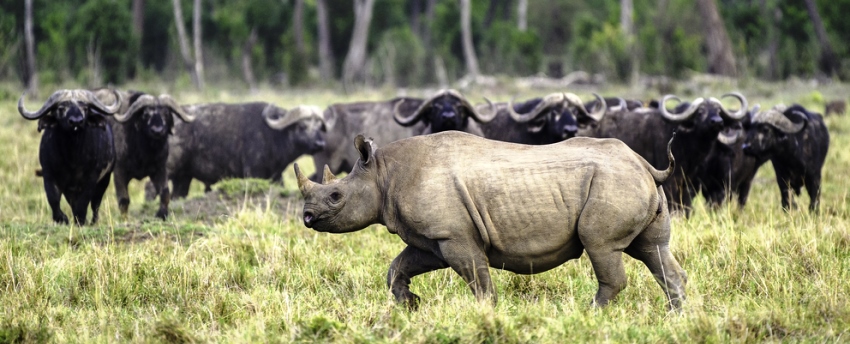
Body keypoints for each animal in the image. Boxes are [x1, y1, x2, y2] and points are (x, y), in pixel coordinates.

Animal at [18, 88, 121, 224]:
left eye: (85, 108)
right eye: (61, 108)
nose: (76, 122)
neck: (72, 156)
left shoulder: (92, 178)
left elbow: (84, 201)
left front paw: (81, 220)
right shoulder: (49, 174)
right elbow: (53, 198)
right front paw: (61, 218)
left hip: (105, 179)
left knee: (96, 203)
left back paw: (93, 221)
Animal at [166, 103, 324, 199]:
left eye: (319, 126)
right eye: (302, 126)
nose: (320, 143)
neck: (273, 135)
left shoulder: (277, 176)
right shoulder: (253, 172)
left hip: (183, 178)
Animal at [294, 131, 684, 310]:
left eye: (335, 196)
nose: (307, 217)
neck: (382, 173)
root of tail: (647, 166)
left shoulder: (454, 236)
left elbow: (478, 280)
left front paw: (487, 313)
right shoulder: (433, 239)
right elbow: (398, 267)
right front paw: (411, 303)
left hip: (613, 184)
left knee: (600, 246)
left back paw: (590, 313)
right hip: (632, 184)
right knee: (654, 251)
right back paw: (675, 315)